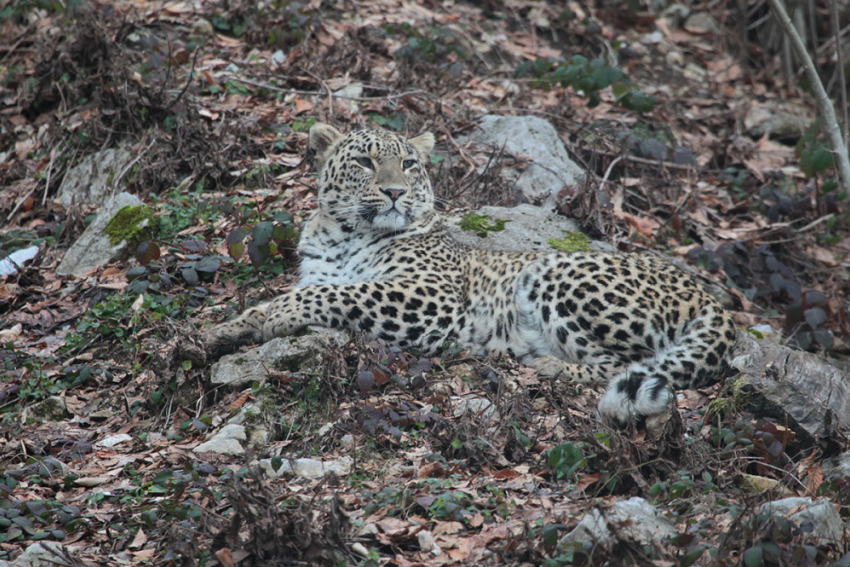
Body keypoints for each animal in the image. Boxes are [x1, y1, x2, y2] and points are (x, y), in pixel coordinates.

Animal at [204, 122, 736, 428]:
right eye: (364, 161)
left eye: (409, 163)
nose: (395, 192)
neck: (342, 235)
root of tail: (709, 297)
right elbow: (269, 305)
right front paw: (217, 332)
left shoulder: (430, 296)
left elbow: (341, 294)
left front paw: (278, 315)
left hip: (556, 273)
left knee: (630, 360)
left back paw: (549, 367)